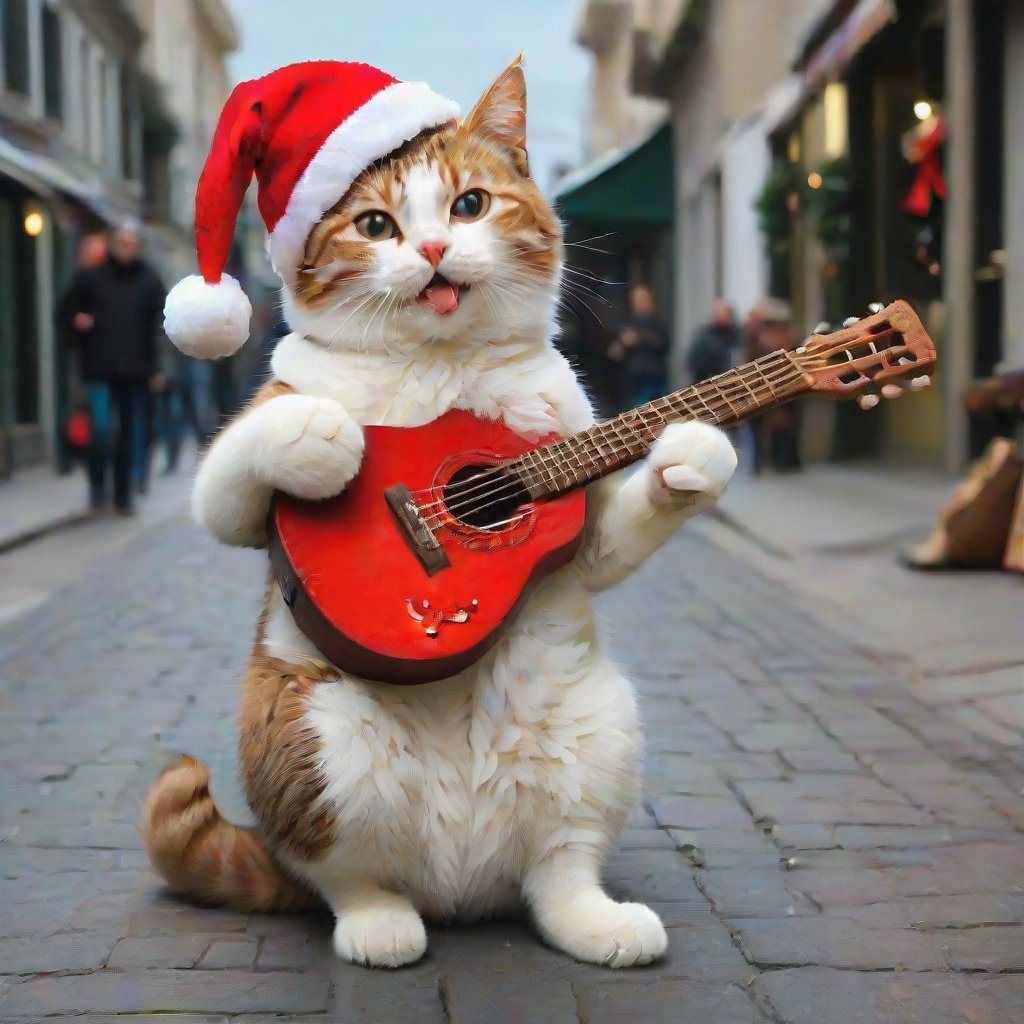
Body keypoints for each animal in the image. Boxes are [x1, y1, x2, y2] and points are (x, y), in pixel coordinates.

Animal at [144, 56, 737, 966]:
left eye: (470, 205)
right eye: (376, 224)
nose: (430, 249)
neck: (439, 365)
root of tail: (456, 889)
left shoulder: (577, 499)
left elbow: (613, 538)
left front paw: (696, 450)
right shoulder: (242, 475)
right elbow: (233, 472)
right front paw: (322, 435)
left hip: (600, 732)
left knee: (558, 872)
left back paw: (596, 923)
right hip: (316, 735)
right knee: (344, 876)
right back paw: (379, 925)